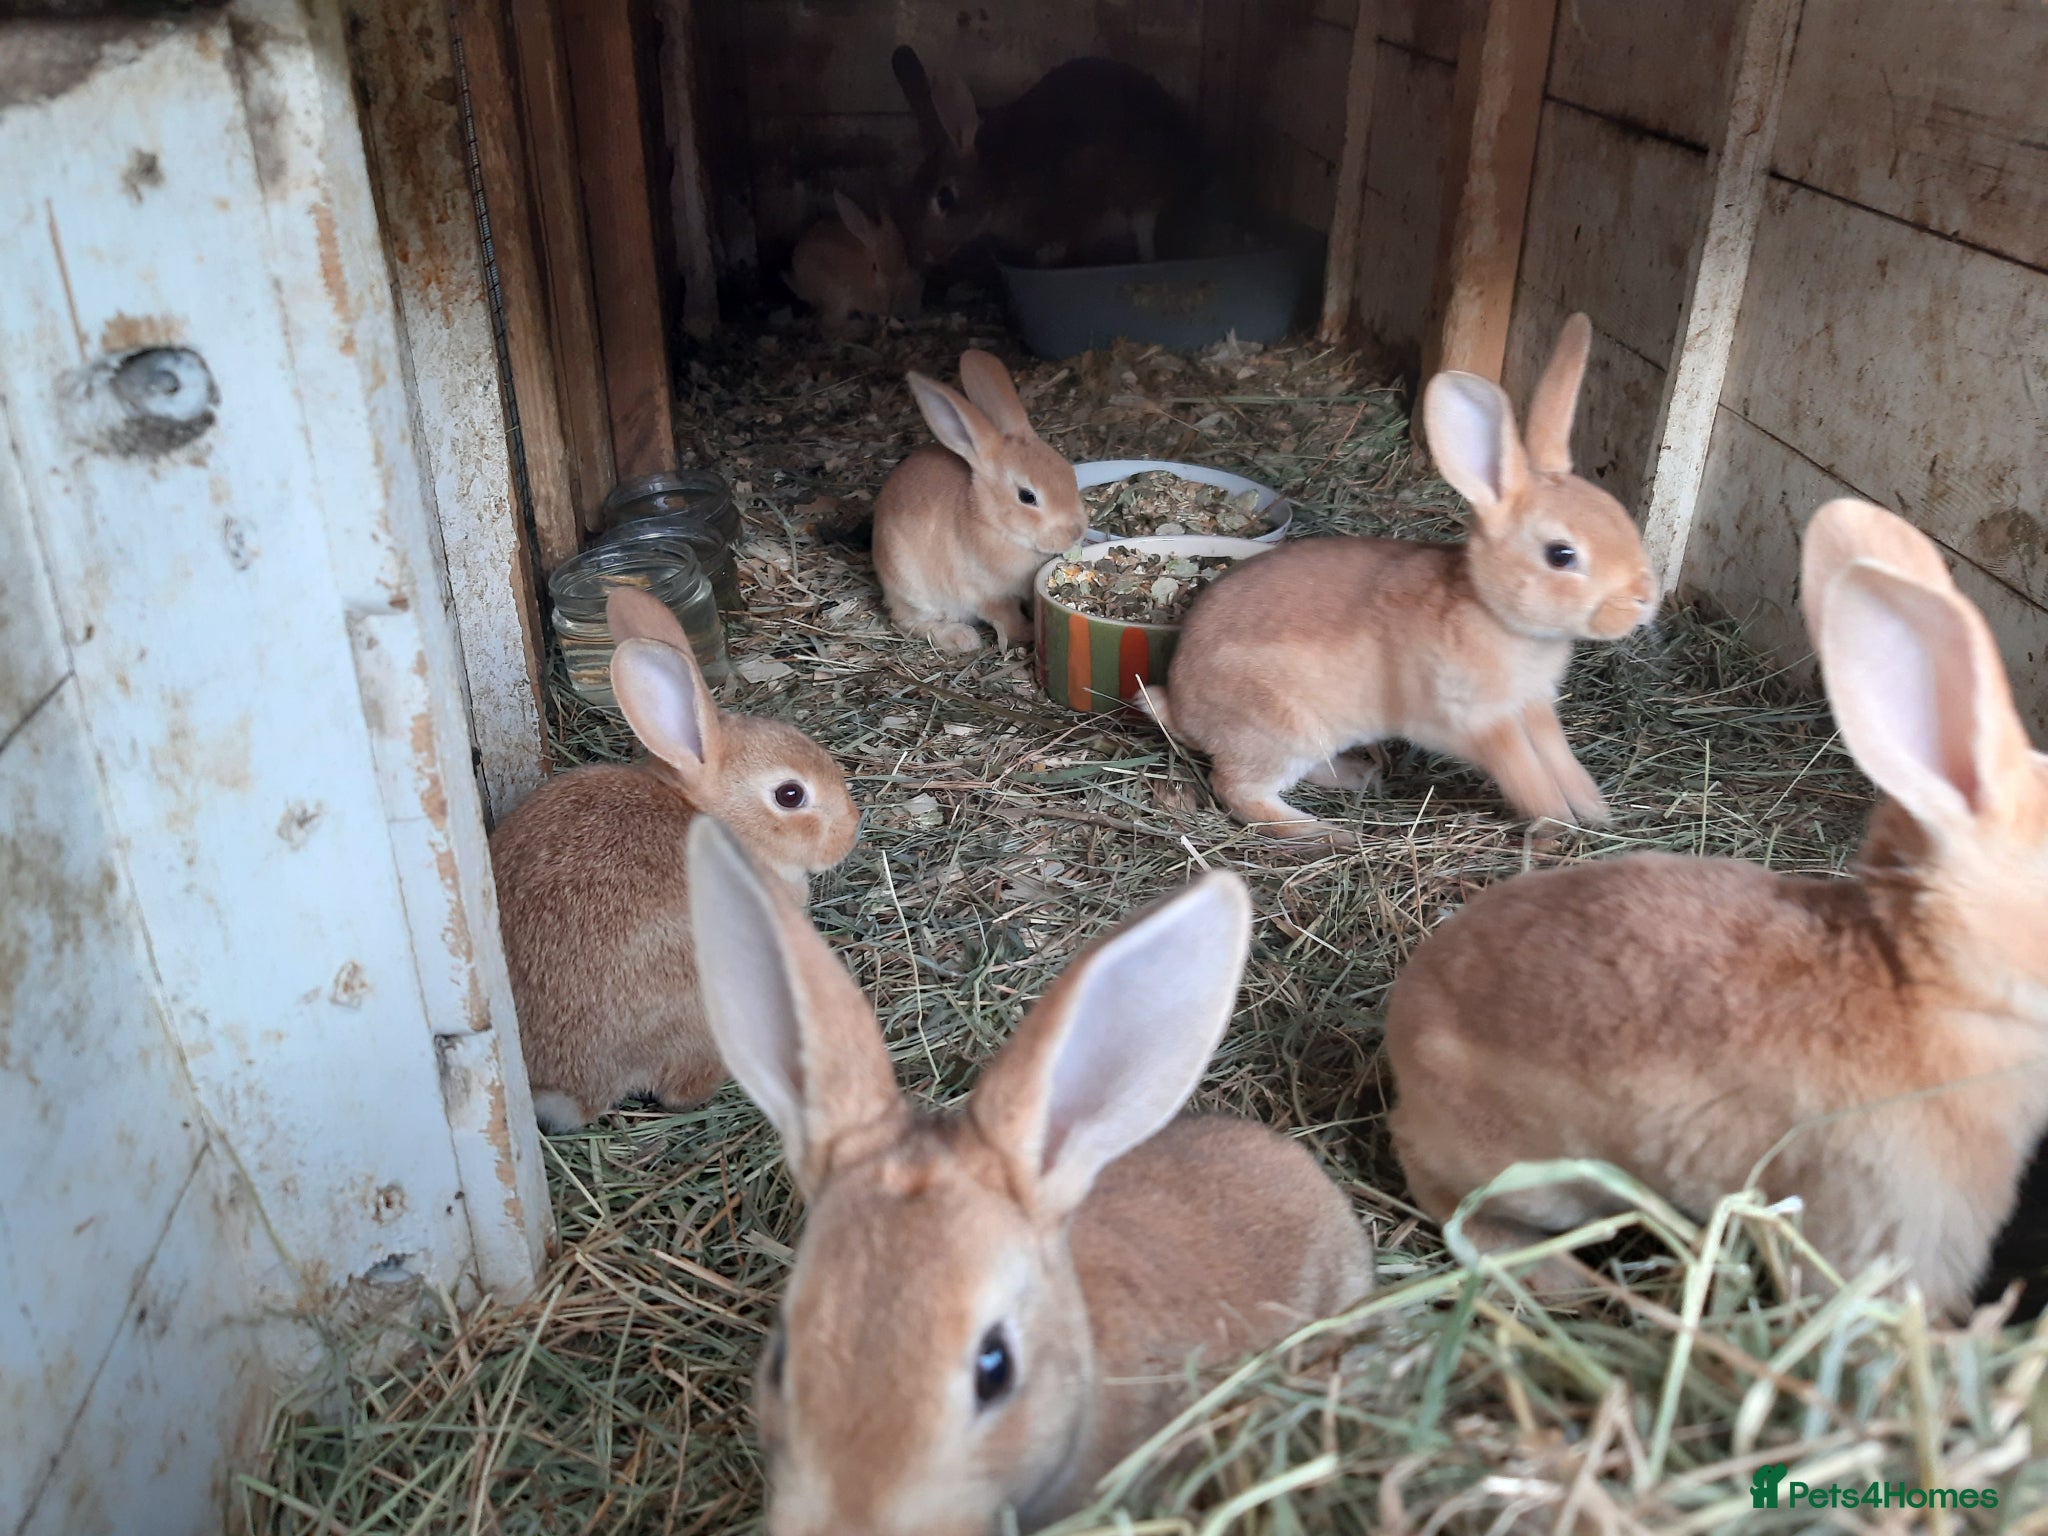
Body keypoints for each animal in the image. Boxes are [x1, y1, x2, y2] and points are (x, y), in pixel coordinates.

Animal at [872, 348, 1085, 654]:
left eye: (1069, 472)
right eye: (1027, 496)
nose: (1076, 531)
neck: (992, 523)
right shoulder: (990, 596)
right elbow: (1007, 620)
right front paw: (1028, 632)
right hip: (910, 585)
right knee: (909, 621)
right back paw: (961, 638)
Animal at [890, 45, 1204, 272]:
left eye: (944, 198)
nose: (920, 255)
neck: (999, 178)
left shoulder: (1062, 216)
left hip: (1140, 191)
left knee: (1145, 233)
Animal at [1141, 313, 1657, 843]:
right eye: (1561, 555)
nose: (1645, 599)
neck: (1492, 612)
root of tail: (1180, 707)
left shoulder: (1533, 708)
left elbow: (1560, 760)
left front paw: (1596, 813)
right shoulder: (1477, 724)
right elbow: (1524, 774)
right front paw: (1558, 824)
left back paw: (1359, 777)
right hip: (1281, 731)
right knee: (1240, 792)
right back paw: (1327, 833)